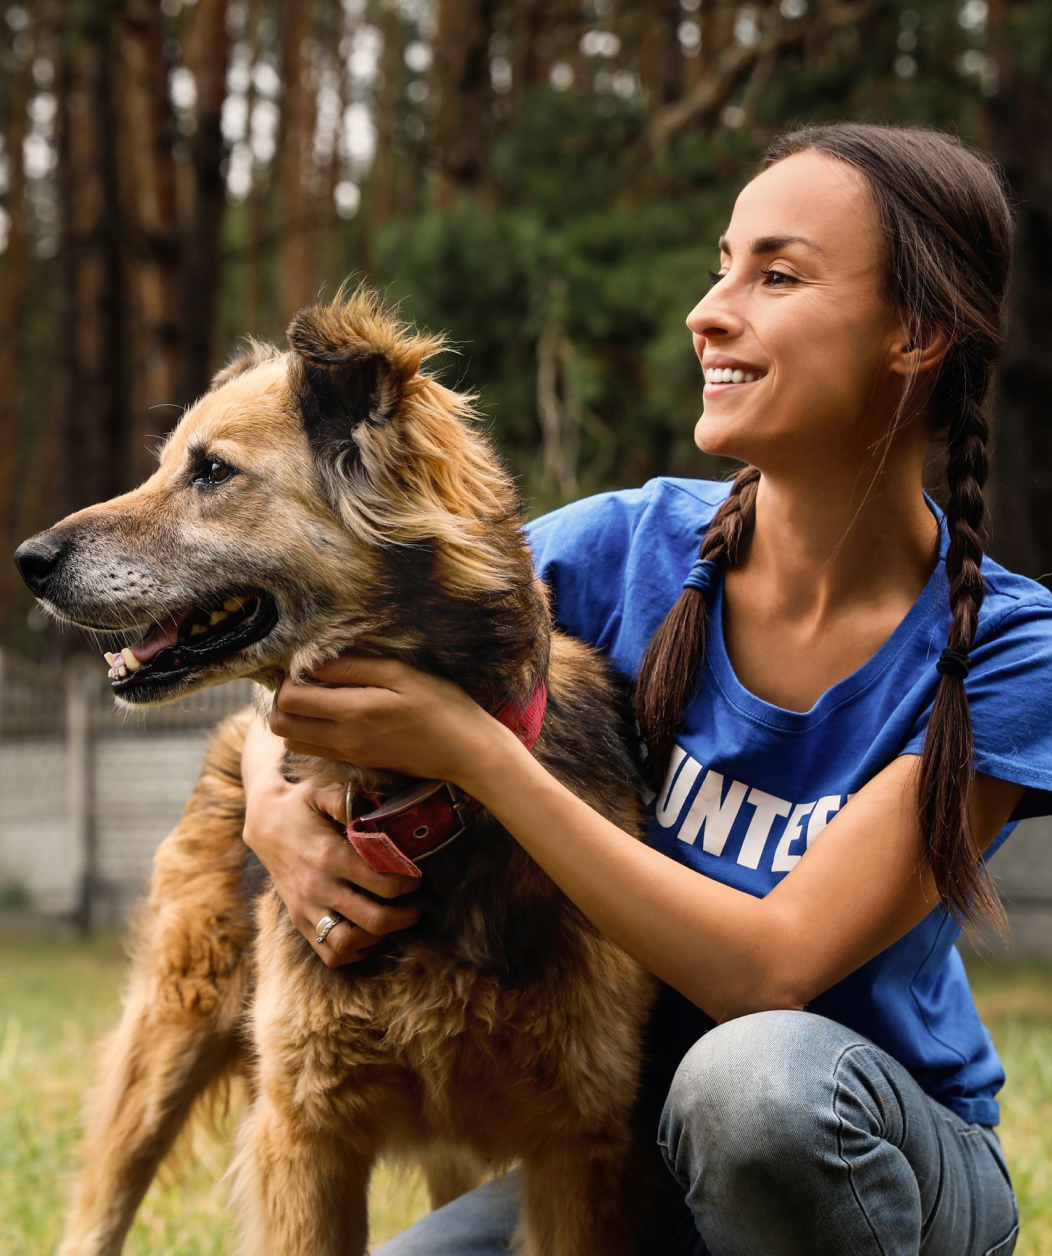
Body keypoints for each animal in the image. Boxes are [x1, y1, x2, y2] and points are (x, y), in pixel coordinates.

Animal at [14, 289, 664, 1255]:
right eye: (169, 466)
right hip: (167, 1037)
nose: (27, 561)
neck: (411, 805)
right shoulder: (306, 1131)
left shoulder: (579, 1146)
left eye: (211, 472)